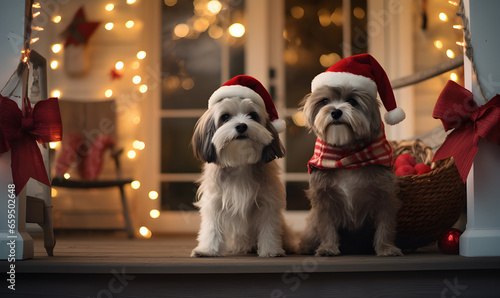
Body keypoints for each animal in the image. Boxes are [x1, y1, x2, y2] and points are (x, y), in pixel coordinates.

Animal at [191, 75, 292, 258]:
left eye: (252, 115)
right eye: (225, 117)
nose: (241, 126)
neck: (240, 163)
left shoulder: (268, 202)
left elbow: (269, 228)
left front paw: (271, 250)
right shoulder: (214, 201)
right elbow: (211, 227)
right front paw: (207, 250)